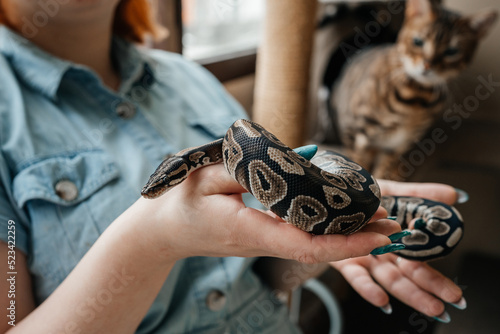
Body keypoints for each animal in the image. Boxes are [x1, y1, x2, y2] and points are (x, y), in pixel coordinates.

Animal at [328, 0, 496, 180]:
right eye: (418, 41)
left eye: (451, 51)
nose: (428, 65)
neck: (415, 100)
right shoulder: (356, 135)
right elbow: (358, 163)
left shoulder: (399, 145)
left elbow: (383, 172)